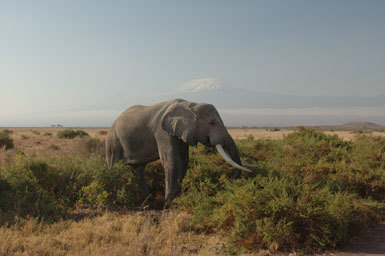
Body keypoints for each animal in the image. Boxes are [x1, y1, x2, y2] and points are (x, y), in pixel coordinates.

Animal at [106, 98, 254, 208]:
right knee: (113, 167)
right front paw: (169, 207)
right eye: (212, 123)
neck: (190, 105)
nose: (232, 180)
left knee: (138, 169)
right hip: (112, 141)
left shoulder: (183, 132)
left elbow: (184, 161)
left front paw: (177, 202)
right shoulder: (162, 132)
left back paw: (145, 203)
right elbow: (172, 161)